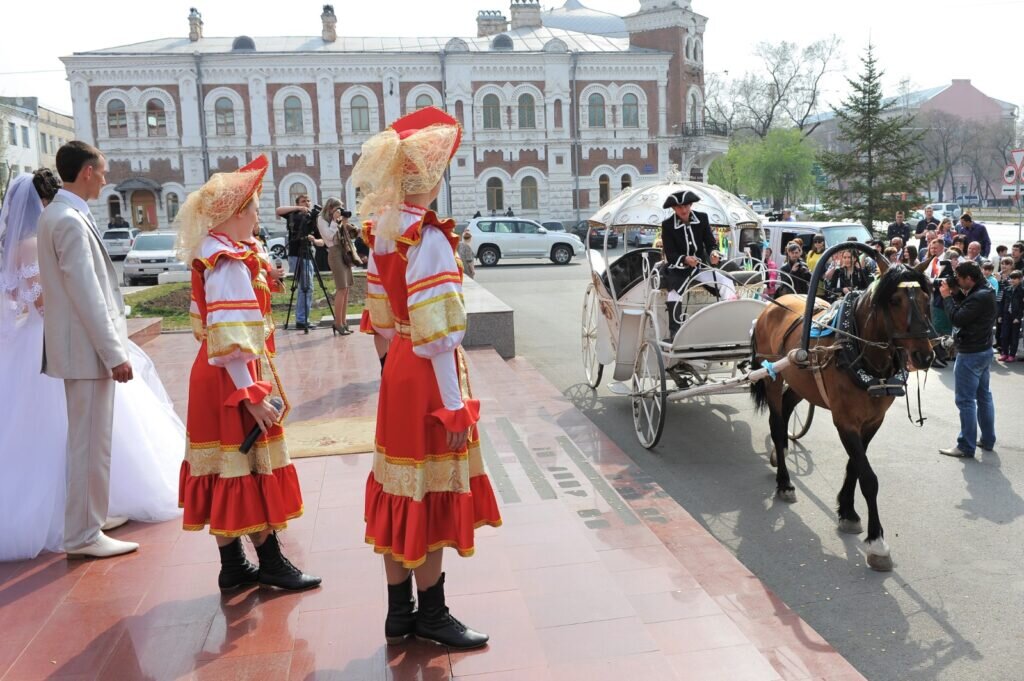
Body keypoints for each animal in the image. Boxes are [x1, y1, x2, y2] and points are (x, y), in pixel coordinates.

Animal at [745, 260, 937, 569]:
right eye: (895, 300)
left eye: (925, 298)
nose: (925, 356)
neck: (860, 353)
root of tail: (773, 305)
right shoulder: (845, 421)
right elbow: (868, 477)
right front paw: (877, 541)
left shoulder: (872, 422)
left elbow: (854, 466)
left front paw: (847, 511)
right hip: (772, 375)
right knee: (776, 422)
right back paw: (785, 482)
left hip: (801, 382)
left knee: (786, 409)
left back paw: (780, 451)